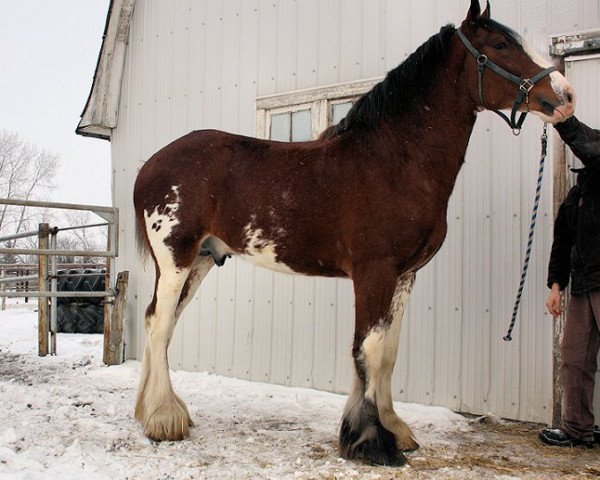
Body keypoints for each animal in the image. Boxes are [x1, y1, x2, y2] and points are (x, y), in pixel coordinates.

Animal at [134, 0, 576, 464]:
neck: (394, 160)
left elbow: (388, 354)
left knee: (160, 323)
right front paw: (370, 441)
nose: (566, 96)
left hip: (200, 261)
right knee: (160, 324)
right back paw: (163, 419)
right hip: (176, 259)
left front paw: (395, 429)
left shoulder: (404, 276)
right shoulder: (374, 271)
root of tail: (150, 166)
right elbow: (369, 349)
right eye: (501, 44)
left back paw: (157, 412)